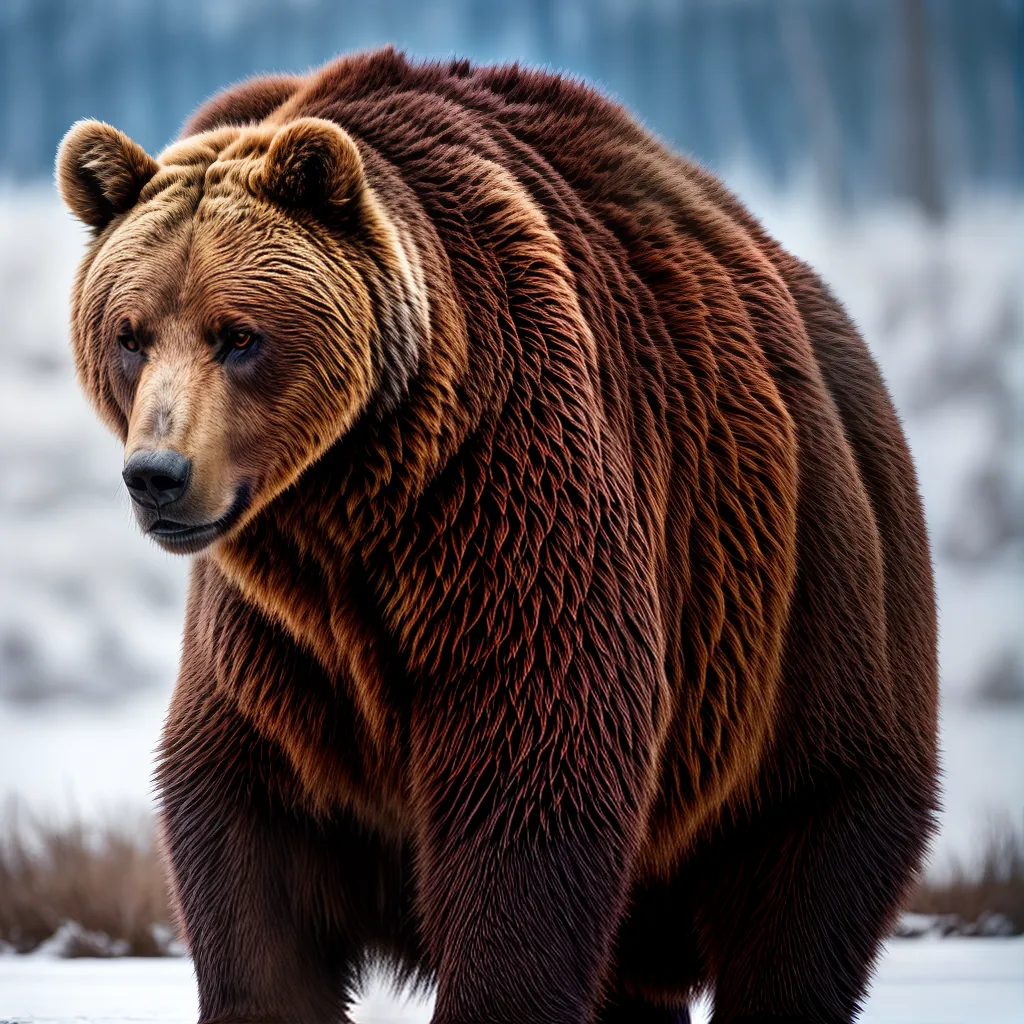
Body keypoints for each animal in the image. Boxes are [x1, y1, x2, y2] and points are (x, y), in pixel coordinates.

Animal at [56, 47, 939, 1024]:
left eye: (239, 335)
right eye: (130, 334)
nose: (157, 474)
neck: (346, 498)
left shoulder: (506, 509)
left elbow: (531, 783)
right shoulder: (277, 635)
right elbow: (252, 843)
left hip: (803, 647)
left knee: (797, 903)